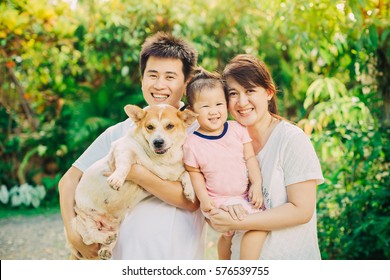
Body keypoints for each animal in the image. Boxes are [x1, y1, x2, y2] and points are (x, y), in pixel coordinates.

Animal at [66, 104, 198, 260]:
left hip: (116, 226)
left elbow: (185, 174)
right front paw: (117, 178)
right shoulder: (124, 149)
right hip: (80, 221)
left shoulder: (171, 173)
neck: (159, 159)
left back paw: (106, 246)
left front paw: (190, 191)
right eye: (150, 127)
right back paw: (103, 238)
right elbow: (124, 164)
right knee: (88, 236)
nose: (158, 142)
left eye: (170, 126)